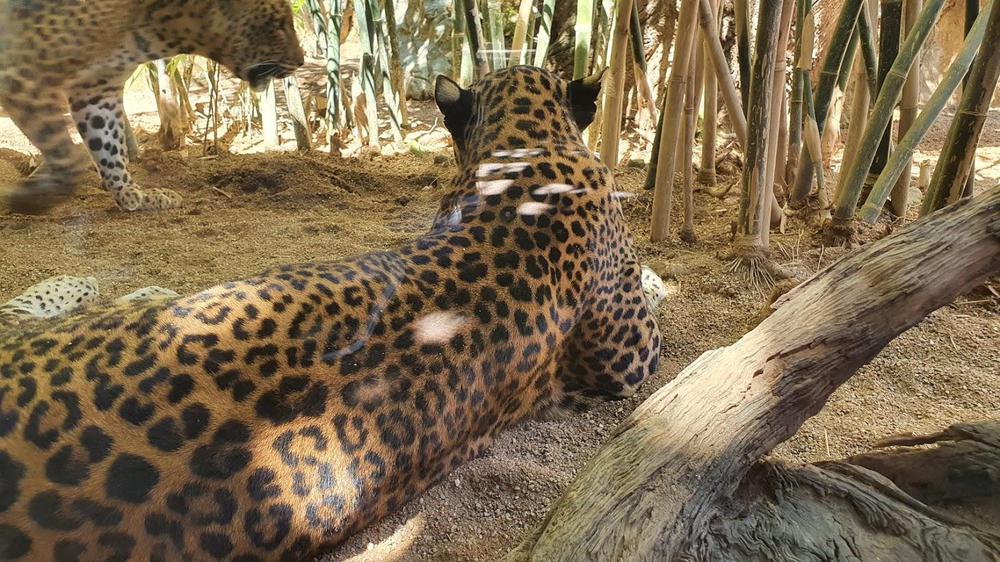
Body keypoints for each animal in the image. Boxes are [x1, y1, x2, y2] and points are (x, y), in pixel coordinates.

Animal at [0, 0, 304, 214]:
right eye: (278, 24)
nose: (301, 60)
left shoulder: (95, 90)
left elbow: (109, 148)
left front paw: (135, 196)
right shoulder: (23, 75)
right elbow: (68, 158)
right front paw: (30, 201)